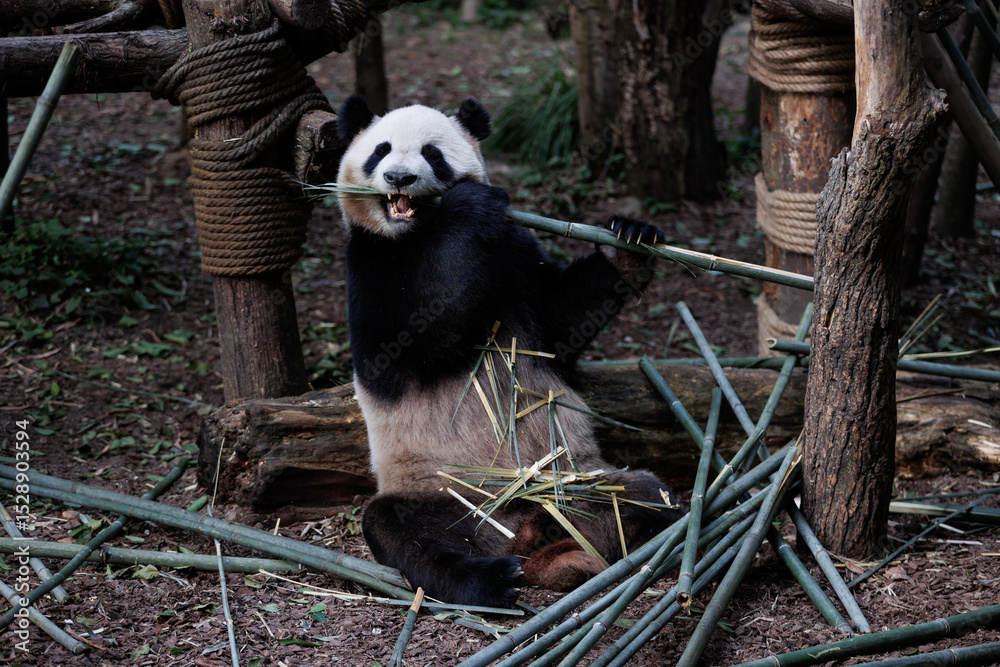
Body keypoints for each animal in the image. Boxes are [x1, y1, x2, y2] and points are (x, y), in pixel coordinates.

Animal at [335, 95, 682, 608]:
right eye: (381, 150)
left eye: (432, 153)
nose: (399, 177)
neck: (420, 231)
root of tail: (518, 529)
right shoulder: (368, 260)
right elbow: (403, 347)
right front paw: (469, 207)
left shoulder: (515, 250)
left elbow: (561, 320)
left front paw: (631, 241)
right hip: (441, 492)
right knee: (403, 532)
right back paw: (492, 578)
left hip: (575, 482)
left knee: (641, 493)